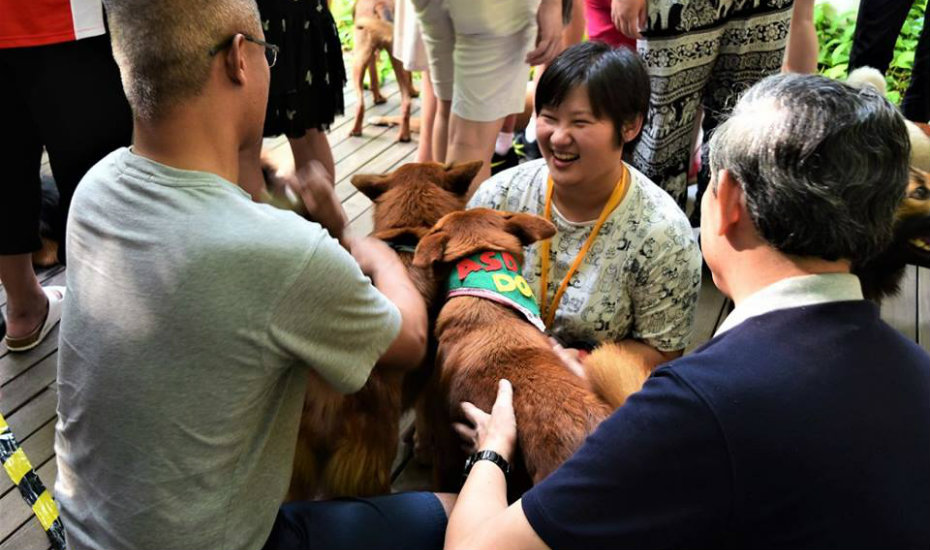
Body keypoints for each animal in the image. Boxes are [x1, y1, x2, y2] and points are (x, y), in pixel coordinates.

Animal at [350, 1, 412, 142]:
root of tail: (380, 4)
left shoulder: (371, 55)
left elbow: (374, 77)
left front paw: (377, 98)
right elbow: (375, 79)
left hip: (358, 60)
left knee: (360, 103)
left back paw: (355, 131)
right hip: (399, 61)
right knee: (407, 102)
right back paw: (404, 135)